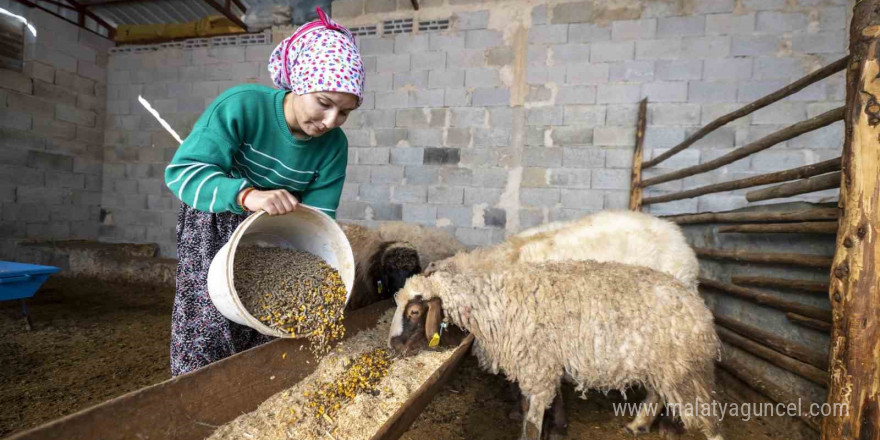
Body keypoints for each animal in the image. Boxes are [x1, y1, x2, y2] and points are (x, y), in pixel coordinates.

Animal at [390, 262, 720, 440]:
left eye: (415, 311)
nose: (393, 346)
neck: (493, 304)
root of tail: (698, 304)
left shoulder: (538, 368)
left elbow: (532, 420)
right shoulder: (540, 365)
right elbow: (533, 408)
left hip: (684, 367)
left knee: (705, 415)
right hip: (661, 364)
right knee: (657, 394)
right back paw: (636, 425)